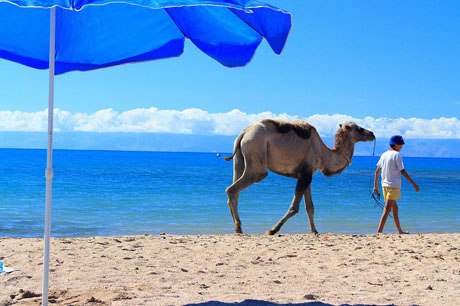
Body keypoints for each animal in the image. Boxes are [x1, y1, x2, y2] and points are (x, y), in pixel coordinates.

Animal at [225, 119, 376, 234]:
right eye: (359, 128)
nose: (372, 133)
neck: (323, 153)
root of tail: (243, 133)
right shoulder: (306, 174)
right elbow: (295, 207)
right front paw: (272, 230)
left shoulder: (305, 174)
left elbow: (310, 207)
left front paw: (314, 231)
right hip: (256, 153)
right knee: (233, 189)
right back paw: (238, 228)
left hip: (240, 158)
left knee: (234, 191)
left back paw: (237, 227)